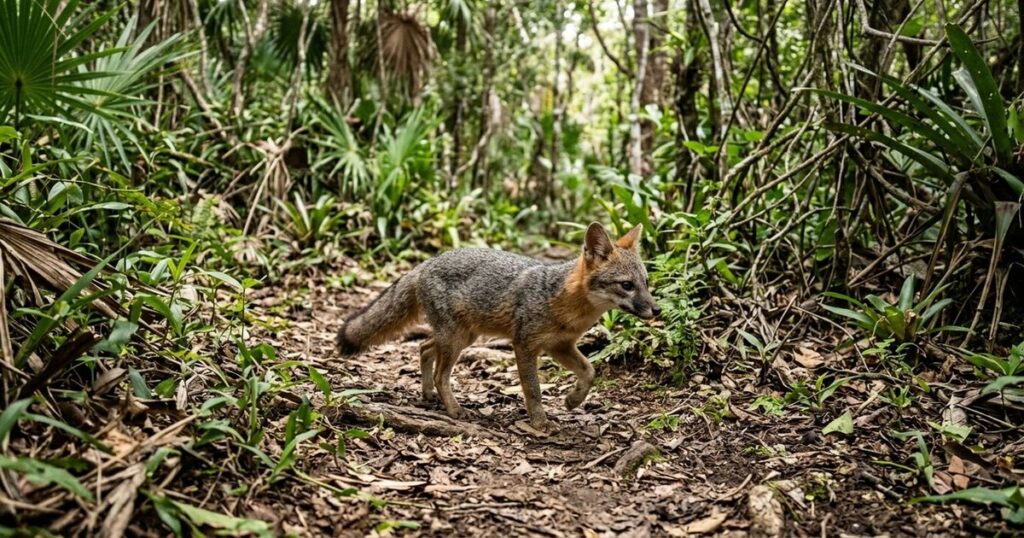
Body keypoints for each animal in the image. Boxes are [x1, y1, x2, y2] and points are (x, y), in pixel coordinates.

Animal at [336, 222, 659, 433]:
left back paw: (428, 394)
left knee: (424, 347)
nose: (656, 310)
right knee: (441, 373)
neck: (565, 303)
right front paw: (540, 423)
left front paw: (572, 400)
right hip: (456, 339)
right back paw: (453, 409)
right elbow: (533, 390)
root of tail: (427, 262)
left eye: (646, 283)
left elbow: (589, 371)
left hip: (462, 336)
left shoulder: (560, 346)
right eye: (626, 285)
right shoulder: (525, 345)